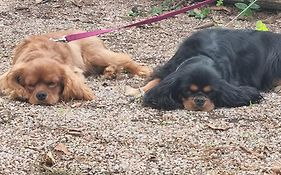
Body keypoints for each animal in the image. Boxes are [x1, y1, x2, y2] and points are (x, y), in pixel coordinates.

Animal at [0, 29, 151, 105]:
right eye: (30, 85)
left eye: (52, 84)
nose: (41, 95)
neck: (40, 54)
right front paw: (19, 92)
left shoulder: (75, 72)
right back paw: (110, 72)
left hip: (95, 55)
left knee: (123, 58)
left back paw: (142, 70)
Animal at [126, 28, 281, 110]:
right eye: (188, 90)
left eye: (210, 92)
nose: (200, 100)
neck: (203, 54)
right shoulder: (170, 68)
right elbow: (156, 81)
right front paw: (137, 91)